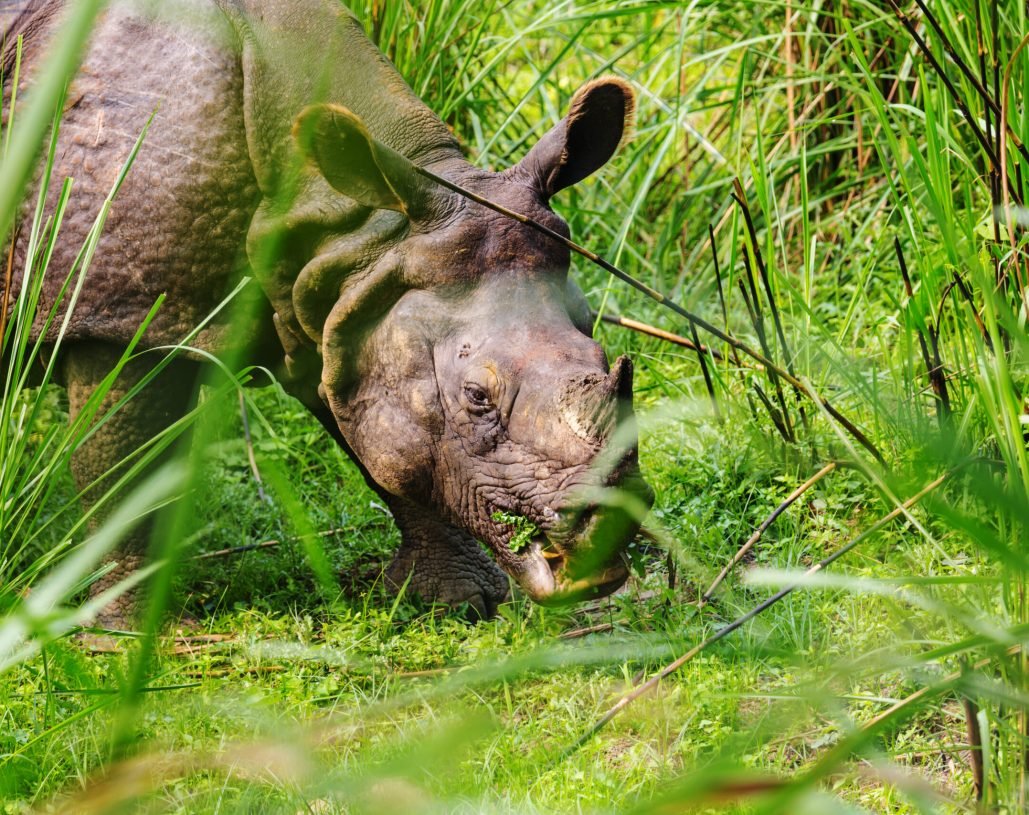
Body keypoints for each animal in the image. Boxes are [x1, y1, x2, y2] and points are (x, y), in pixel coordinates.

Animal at [2, 0, 653, 625]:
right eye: (476, 397)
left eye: (603, 356)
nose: (609, 528)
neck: (344, 217)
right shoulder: (118, 314)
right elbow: (123, 476)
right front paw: (131, 632)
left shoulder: (342, 295)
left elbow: (383, 442)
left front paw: (458, 604)